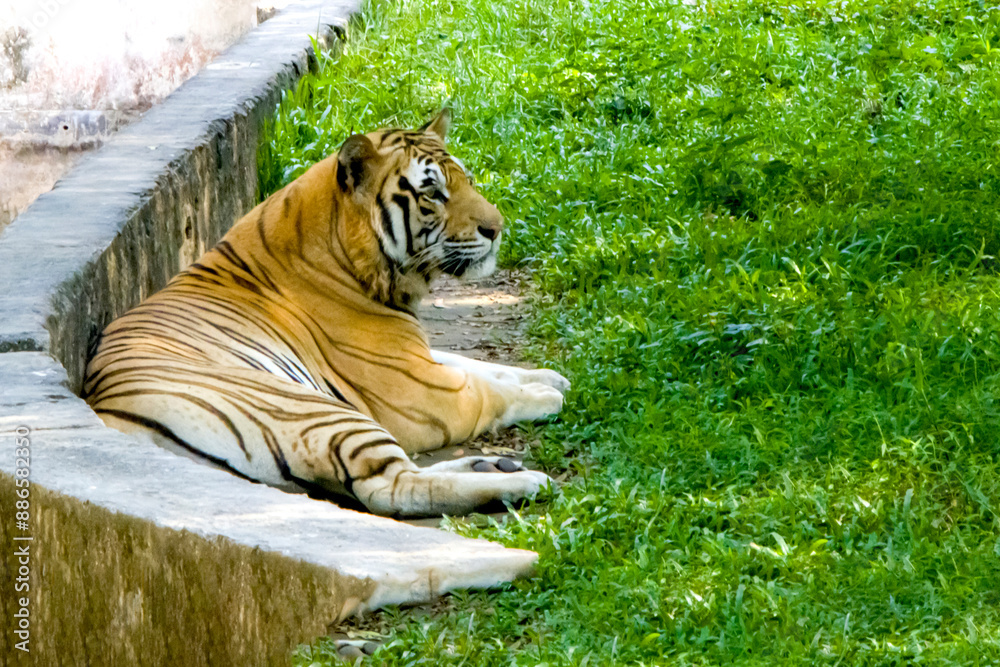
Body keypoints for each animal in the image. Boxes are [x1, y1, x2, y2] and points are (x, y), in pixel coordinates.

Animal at [82, 110, 569, 517]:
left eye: (466, 180)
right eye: (433, 193)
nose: (497, 228)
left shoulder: (418, 357)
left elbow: (477, 365)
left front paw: (549, 376)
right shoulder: (422, 391)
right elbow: (489, 391)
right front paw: (547, 395)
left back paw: (495, 467)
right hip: (315, 409)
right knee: (391, 488)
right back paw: (525, 481)